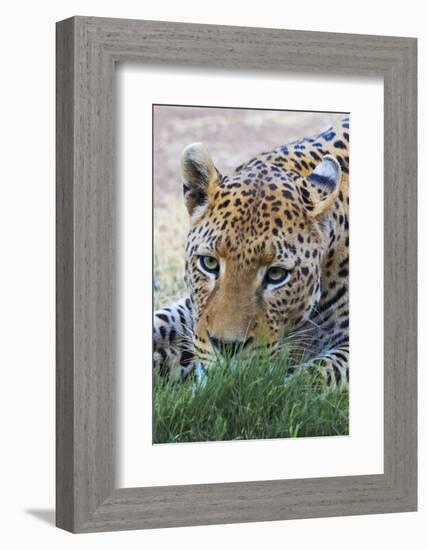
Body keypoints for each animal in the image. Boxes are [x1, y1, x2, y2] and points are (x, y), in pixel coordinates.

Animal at [152, 117, 350, 388]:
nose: (226, 347)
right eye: (209, 263)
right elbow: (162, 321)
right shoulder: (192, 310)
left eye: (276, 274)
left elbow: (308, 380)